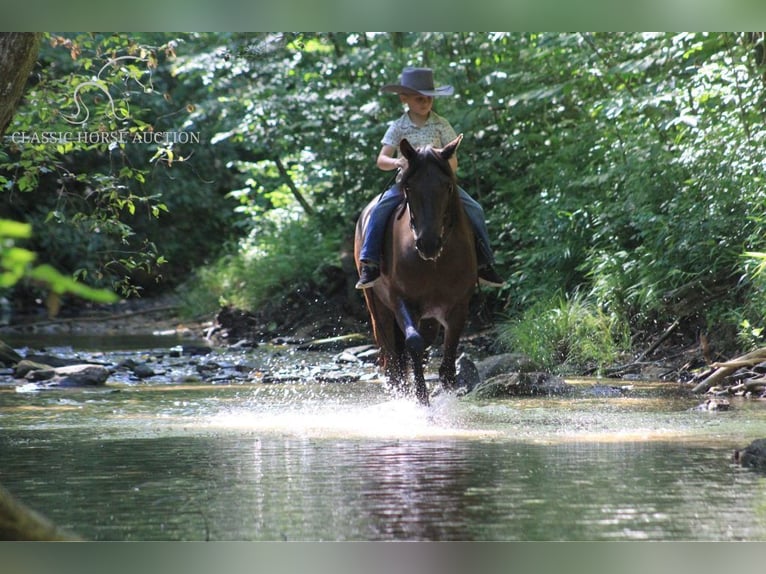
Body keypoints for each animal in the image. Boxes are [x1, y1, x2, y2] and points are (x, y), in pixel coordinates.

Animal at [356, 134, 476, 404]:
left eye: (447, 186)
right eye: (409, 187)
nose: (428, 243)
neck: (434, 264)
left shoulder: (459, 306)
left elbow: (448, 363)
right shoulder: (402, 301)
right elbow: (413, 343)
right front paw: (422, 402)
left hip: (429, 317)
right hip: (379, 310)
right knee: (393, 361)